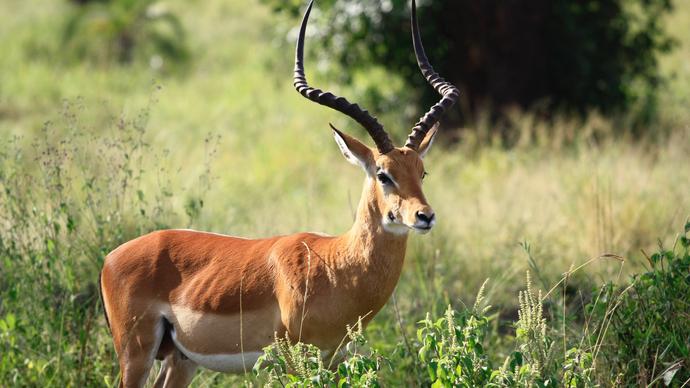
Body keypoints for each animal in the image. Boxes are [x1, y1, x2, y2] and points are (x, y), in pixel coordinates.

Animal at [98, 1, 456, 386]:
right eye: (383, 174)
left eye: (422, 172)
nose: (425, 216)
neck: (335, 264)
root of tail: (110, 258)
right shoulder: (294, 359)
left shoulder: (335, 358)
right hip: (136, 354)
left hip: (181, 359)